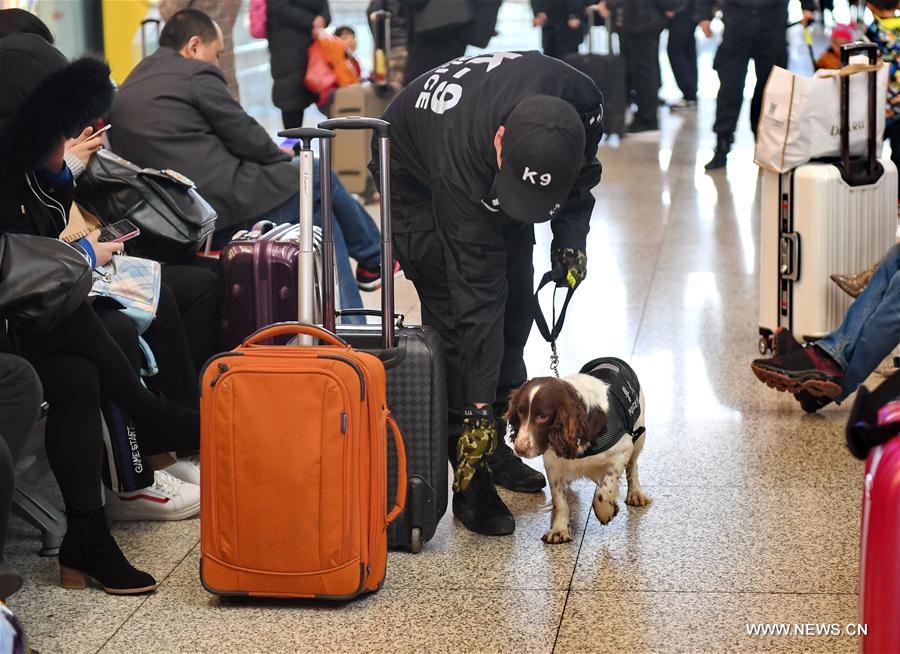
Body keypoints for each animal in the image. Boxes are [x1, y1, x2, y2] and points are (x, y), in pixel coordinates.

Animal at [506, 356, 648, 544]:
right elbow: (559, 500)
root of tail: (611, 358)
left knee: (633, 466)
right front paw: (559, 529)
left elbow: (604, 490)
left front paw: (605, 512)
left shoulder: (624, 448)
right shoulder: (553, 463)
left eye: (542, 416)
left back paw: (636, 494)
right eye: (520, 412)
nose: (519, 449)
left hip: (639, 434)